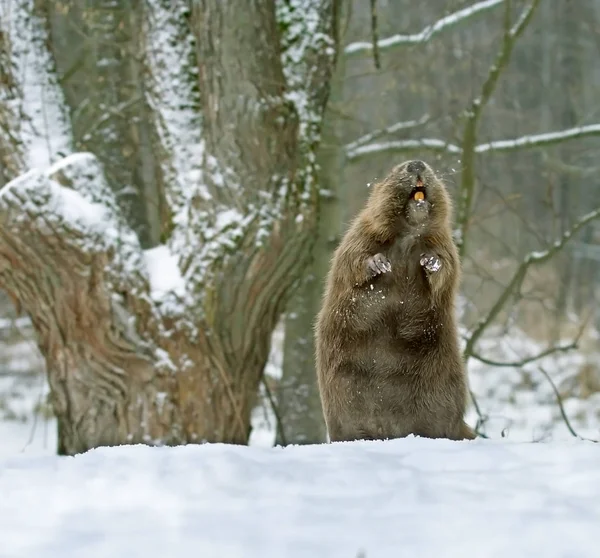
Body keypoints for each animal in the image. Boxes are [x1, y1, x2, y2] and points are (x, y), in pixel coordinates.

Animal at [316, 160, 476, 444]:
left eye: (428, 165)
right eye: (396, 170)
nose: (417, 164)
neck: (408, 236)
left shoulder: (444, 242)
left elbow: (447, 268)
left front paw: (430, 262)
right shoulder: (360, 233)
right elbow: (353, 260)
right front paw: (378, 263)